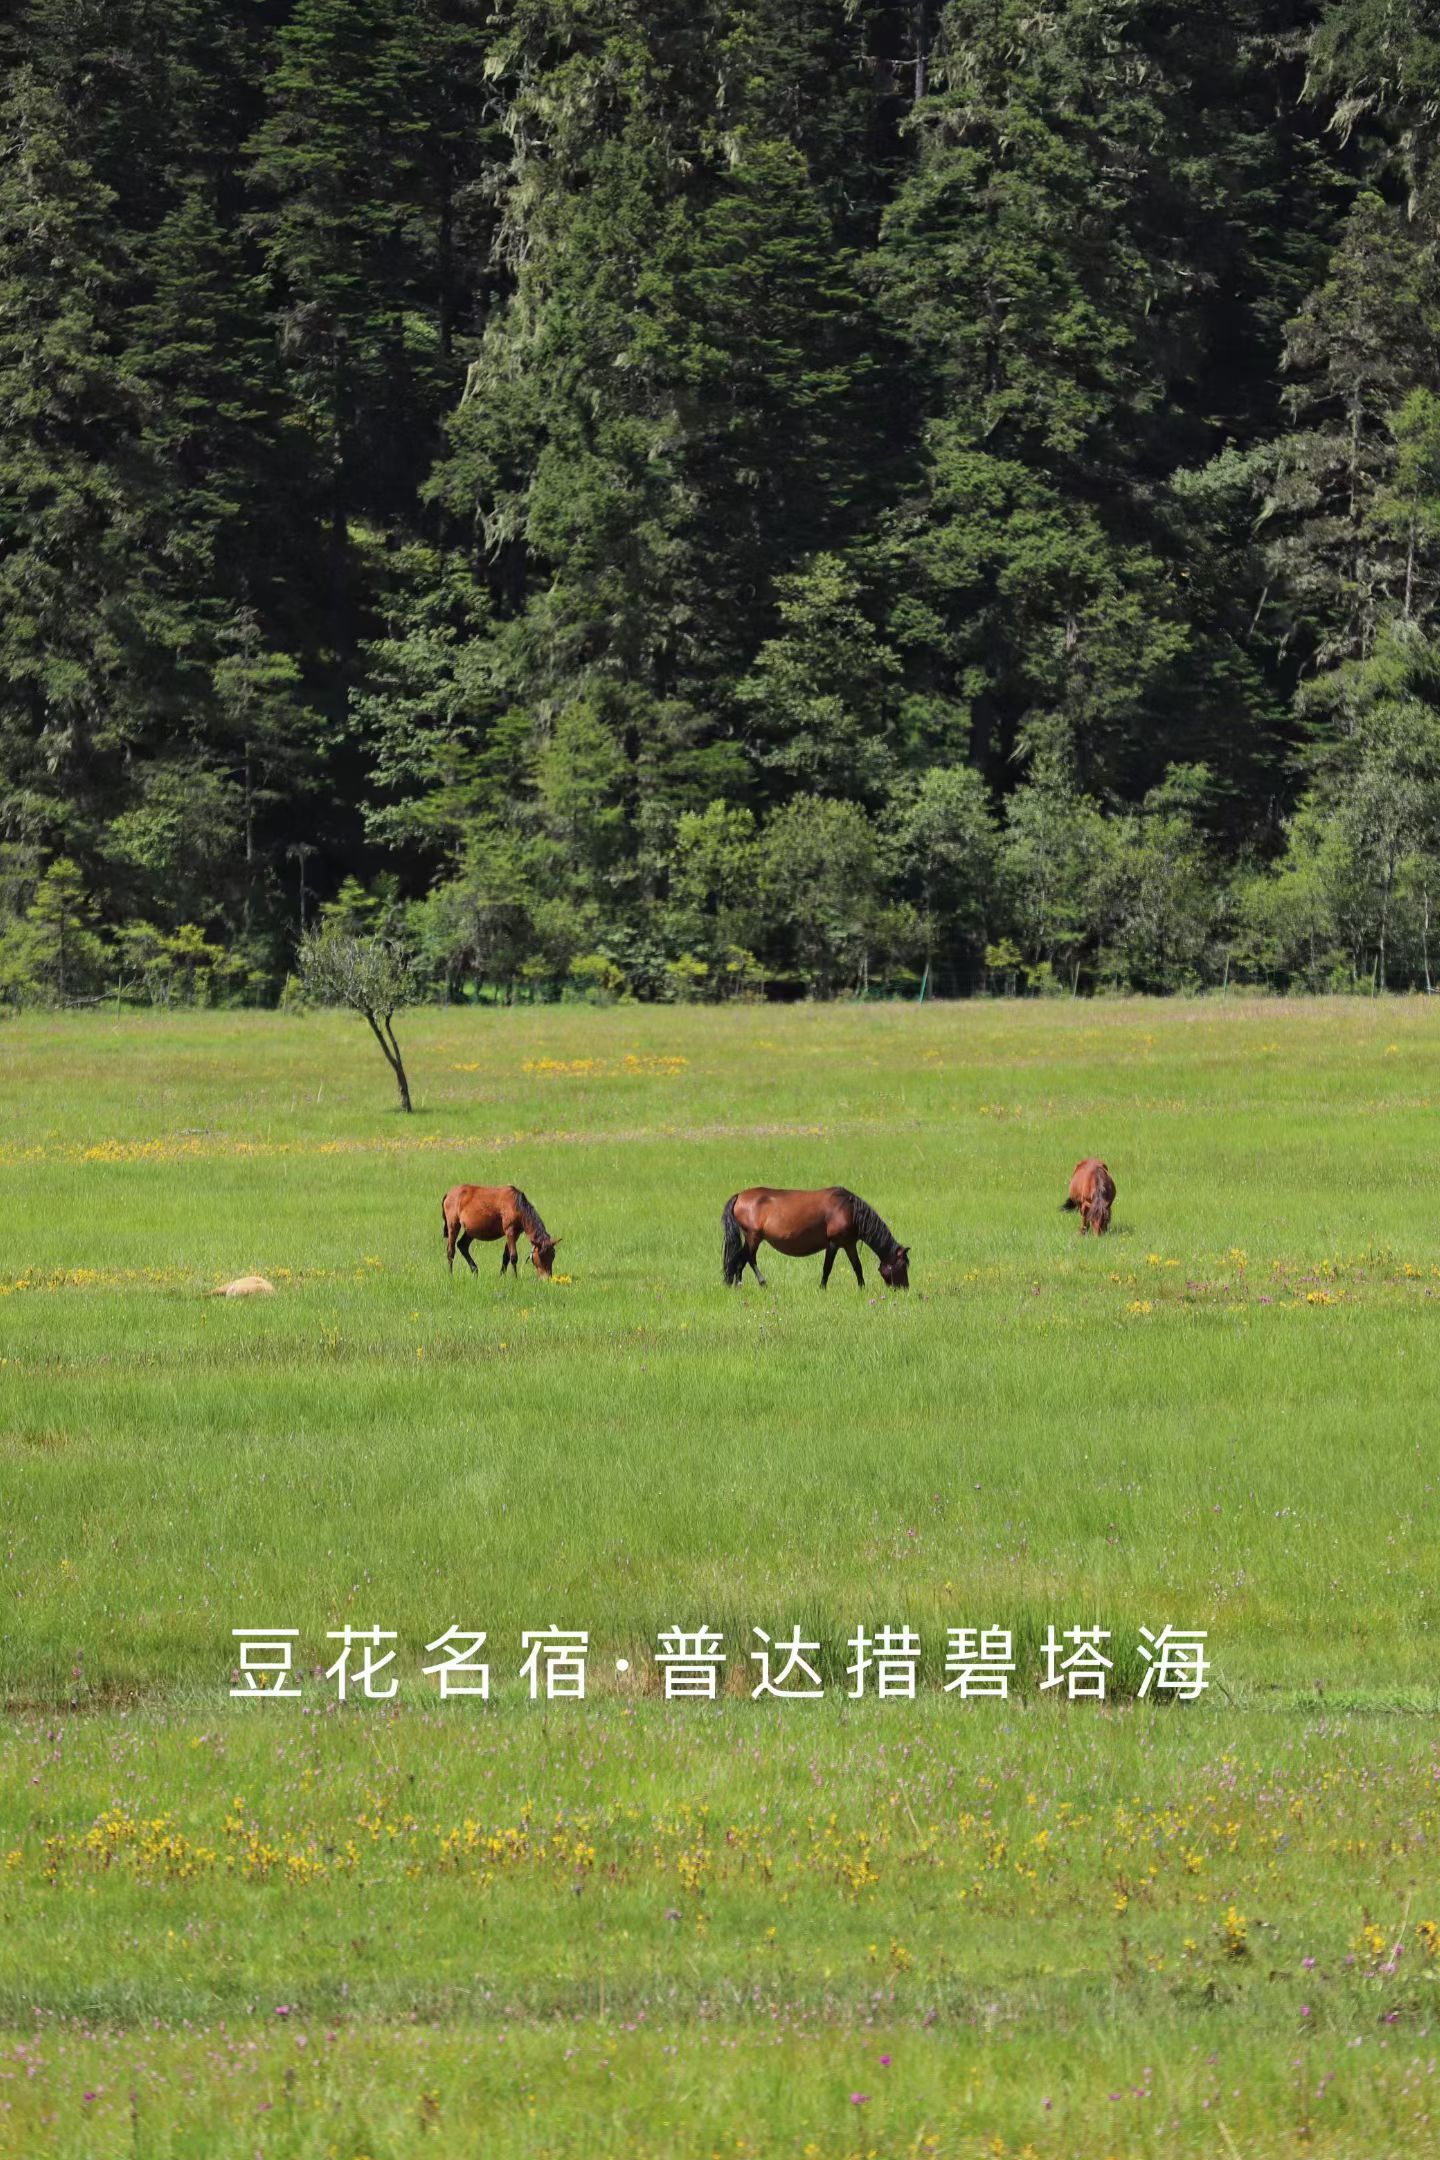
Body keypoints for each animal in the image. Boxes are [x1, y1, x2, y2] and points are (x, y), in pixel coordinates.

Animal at [722, 1187, 910, 1290]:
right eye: (902, 1266)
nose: (905, 1289)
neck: (849, 1210)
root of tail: (739, 1196)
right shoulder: (833, 1243)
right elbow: (827, 1268)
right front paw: (822, 1287)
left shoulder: (849, 1244)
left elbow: (857, 1267)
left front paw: (862, 1287)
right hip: (753, 1236)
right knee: (748, 1258)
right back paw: (761, 1282)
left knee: (739, 1260)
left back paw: (738, 1285)